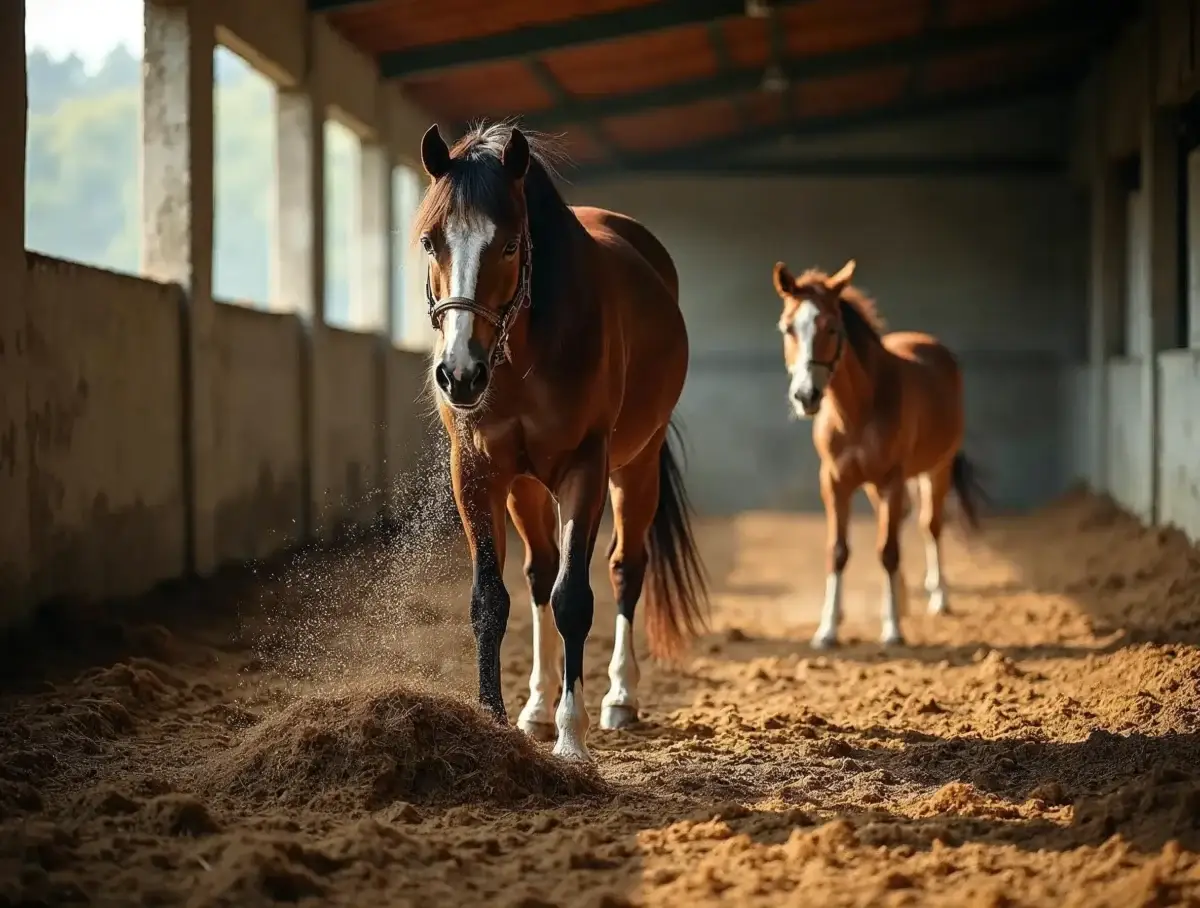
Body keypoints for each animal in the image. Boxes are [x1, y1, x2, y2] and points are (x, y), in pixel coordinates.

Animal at [412, 120, 709, 762]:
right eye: (429, 242)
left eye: (509, 245)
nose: (460, 375)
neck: (525, 351)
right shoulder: (477, 471)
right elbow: (492, 600)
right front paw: (499, 722)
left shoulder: (585, 468)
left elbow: (576, 598)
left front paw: (573, 740)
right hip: (525, 486)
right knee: (539, 574)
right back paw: (536, 709)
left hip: (636, 467)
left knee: (624, 569)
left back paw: (619, 698)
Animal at [771, 259, 986, 649]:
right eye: (787, 327)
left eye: (831, 327)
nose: (806, 396)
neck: (858, 411)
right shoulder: (835, 482)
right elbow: (838, 551)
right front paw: (828, 629)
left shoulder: (891, 479)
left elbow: (888, 550)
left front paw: (892, 630)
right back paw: (900, 599)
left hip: (936, 469)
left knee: (930, 525)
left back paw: (939, 598)